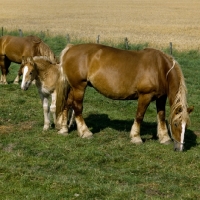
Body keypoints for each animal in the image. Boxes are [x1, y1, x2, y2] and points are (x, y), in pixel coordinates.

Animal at [55, 43, 193, 151]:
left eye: (186, 125)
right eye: (176, 124)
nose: (180, 148)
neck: (161, 68)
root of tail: (71, 48)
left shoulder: (161, 97)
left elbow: (161, 116)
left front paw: (164, 138)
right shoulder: (145, 96)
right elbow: (139, 116)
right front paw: (136, 138)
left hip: (73, 88)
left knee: (67, 104)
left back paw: (64, 129)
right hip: (79, 87)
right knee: (77, 108)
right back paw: (85, 132)